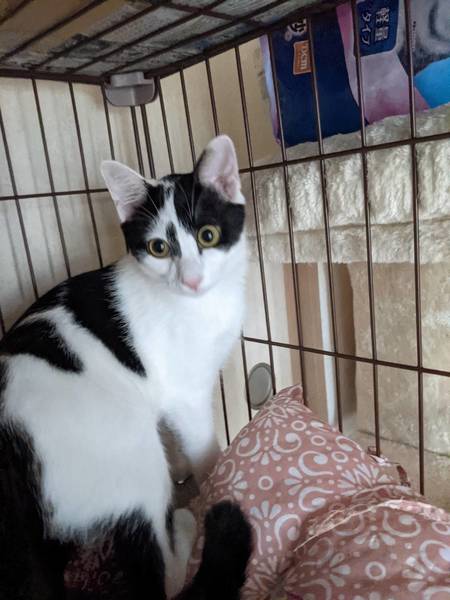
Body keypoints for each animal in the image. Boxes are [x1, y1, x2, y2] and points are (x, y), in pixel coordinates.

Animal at [0, 134, 250, 599]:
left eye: (207, 236)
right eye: (158, 248)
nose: (191, 279)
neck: (198, 304)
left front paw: (186, 467)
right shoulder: (184, 394)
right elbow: (203, 446)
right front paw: (215, 477)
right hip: (127, 448)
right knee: (160, 577)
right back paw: (185, 528)